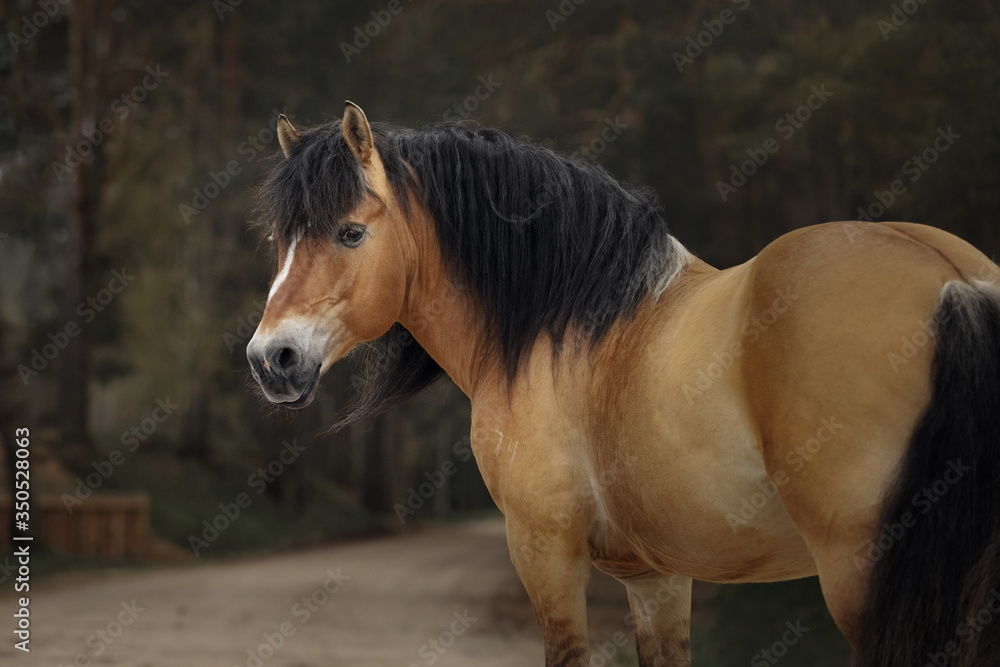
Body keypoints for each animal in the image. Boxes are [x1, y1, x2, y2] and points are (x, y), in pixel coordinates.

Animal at [246, 101, 1000, 667]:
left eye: (349, 232)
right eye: (282, 238)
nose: (271, 358)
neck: (560, 325)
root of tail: (952, 278)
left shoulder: (545, 553)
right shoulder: (656, 578)